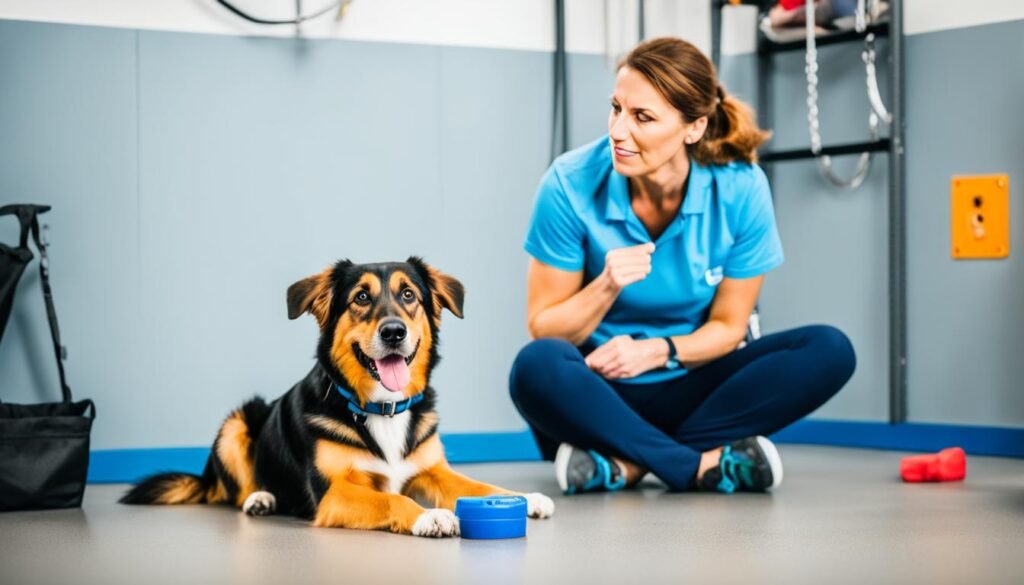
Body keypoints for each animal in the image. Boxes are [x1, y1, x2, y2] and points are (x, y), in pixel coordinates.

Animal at [120, 258, 557, 536]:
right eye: (361, 298)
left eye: (409, 295)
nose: (394, 332)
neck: (382, 408)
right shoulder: (335, 492)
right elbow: (391, 501)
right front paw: (429, 518)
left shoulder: (433, 471)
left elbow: (481, 487)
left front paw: (525, 497)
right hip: (237, 422)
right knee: (233, 492)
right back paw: (260, 499)